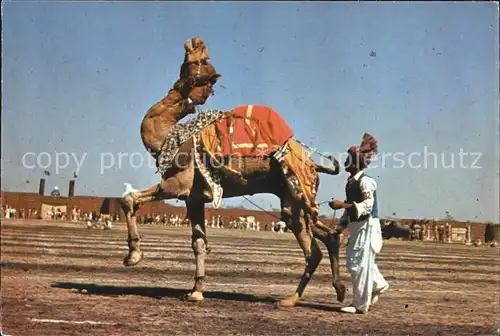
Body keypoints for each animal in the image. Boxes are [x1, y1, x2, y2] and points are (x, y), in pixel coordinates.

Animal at [123, 37, 346, 308]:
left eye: (195, 62)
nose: (193, 42)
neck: (169, 137)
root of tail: (313, 164)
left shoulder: (176, 186)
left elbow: (129, 198)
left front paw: (133, 256)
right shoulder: (194, 198)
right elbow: (198, 242)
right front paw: (196, 290)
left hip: (296, 196)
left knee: (313, 250)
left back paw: (291, 299)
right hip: (294, 201)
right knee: (327, 235)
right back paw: (338, 289)